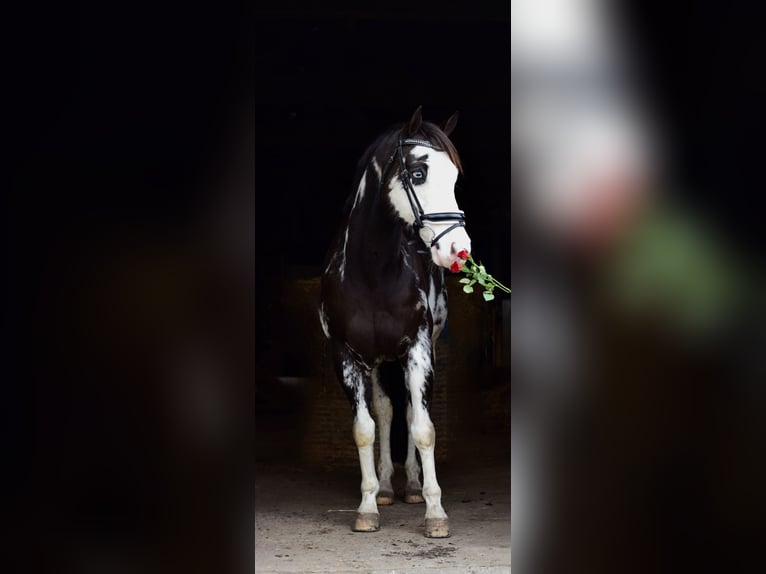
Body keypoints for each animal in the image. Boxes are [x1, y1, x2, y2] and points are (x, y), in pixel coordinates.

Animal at [318, 106, 471, 538]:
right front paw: (368, 505)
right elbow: (365, 428)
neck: (373, 270)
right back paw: (387, 487)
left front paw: (435, 512)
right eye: (418, 173)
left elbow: (422, 427)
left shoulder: (418, 350)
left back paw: (414, 487)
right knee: (385, 412)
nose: (459, 250)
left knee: (406, 412)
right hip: (375, 362)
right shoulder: (346, 356)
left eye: (455, 177)